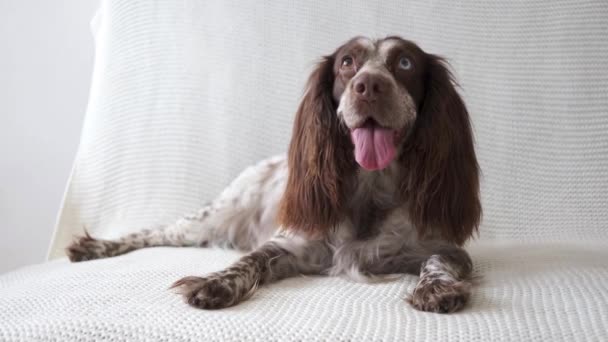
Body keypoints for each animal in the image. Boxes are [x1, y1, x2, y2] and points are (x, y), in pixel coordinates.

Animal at [66, 36, 482, 314]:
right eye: (347, 62)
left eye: (405, 63)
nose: (369, 86)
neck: (370, 190)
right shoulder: (294, 247)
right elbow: (249, 260)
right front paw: (216, 283)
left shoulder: (440, 248)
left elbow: (437, 263)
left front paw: (438, 289)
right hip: (210, 217)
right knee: (154, 232)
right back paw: (94, 247)